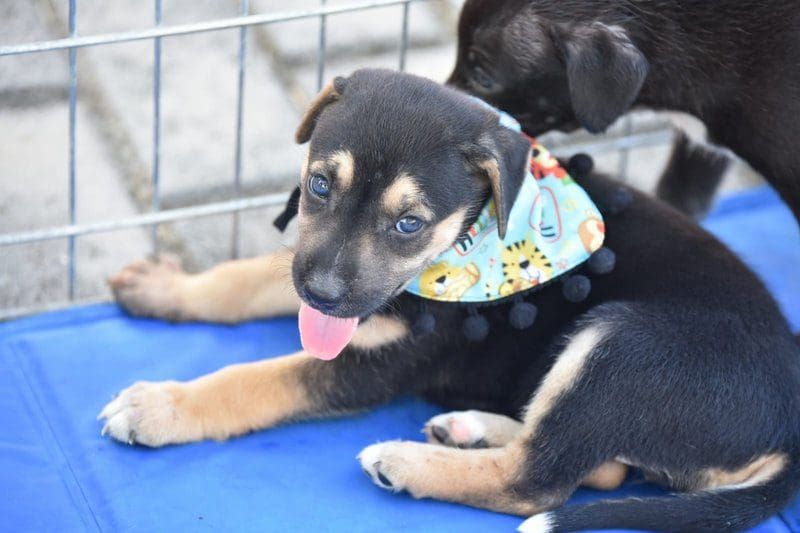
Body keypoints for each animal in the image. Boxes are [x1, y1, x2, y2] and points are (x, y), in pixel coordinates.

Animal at [101, 70, 800, 532]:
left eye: (409, 224)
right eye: (319, 186)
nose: (322, 294)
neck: (468, 242)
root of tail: (788, 432)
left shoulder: (379, 361)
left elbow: (260, 379)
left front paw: (161, 406)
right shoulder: (320, 274)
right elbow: (244, 278)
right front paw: (169, 289)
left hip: (624, 346)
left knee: (539, 483)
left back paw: (408, 461)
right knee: (596, 467)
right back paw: (469, 428)